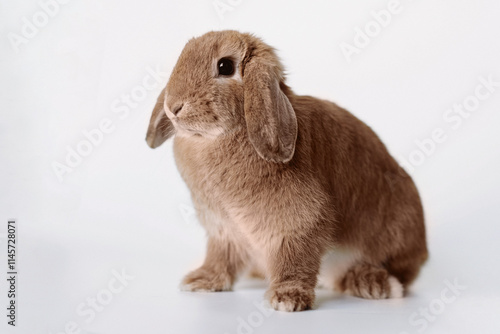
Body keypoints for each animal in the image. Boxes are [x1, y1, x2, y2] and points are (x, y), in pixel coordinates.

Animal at [146, 30, 428, 312]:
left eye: (225, 66)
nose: (173, 106)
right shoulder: (223, 228)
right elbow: (221, 257)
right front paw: (201, 280)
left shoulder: (299, 219)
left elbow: (294, 255)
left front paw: (287, 298)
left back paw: (374, 284)